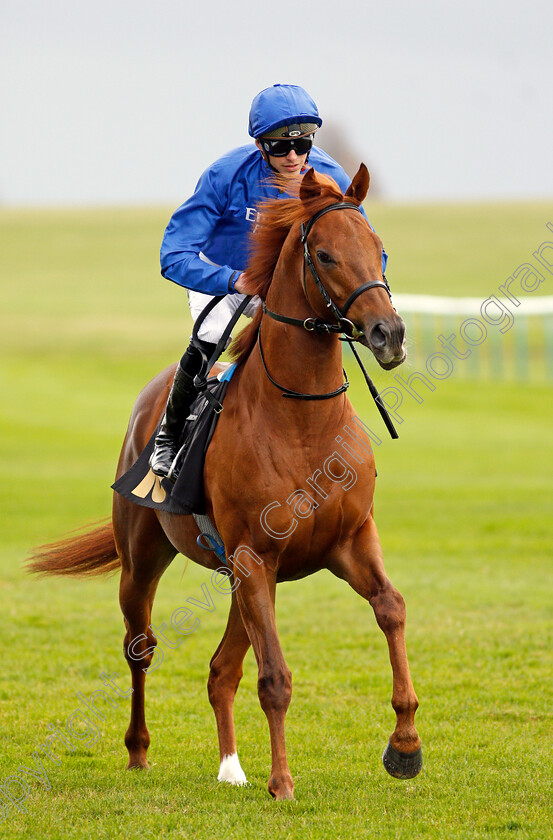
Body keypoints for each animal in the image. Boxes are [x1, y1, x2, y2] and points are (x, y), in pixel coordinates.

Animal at [27, 164, 422, 800]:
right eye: (327, 255)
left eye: (379, 248)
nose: (389, 334)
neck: (303, 421)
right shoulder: (255, 555)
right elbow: (275, 677)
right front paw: (282, 782)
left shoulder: (347, 541)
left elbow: (391, 608)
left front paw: (405, 745)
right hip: (146, 560)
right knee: (141, 649)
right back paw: (140, 751)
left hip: (243, 577)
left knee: (221, 669)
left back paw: (231, 766)